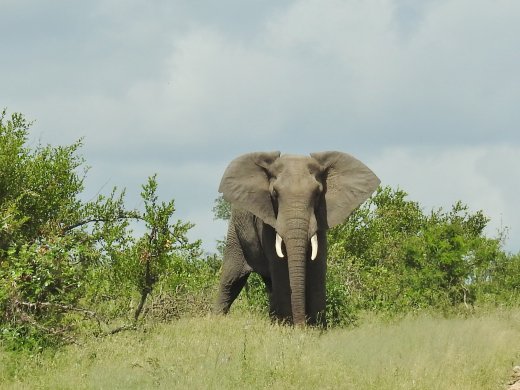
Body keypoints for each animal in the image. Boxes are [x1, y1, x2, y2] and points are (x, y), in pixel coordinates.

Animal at [213, 151, 380, 324]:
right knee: (231, 280)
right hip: (235, 234)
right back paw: (217, 320)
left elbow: (317, 267)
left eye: (318, 193)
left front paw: (316, 326)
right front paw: (290, 326)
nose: (302, 324)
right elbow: (281, 268)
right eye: (274, 193)